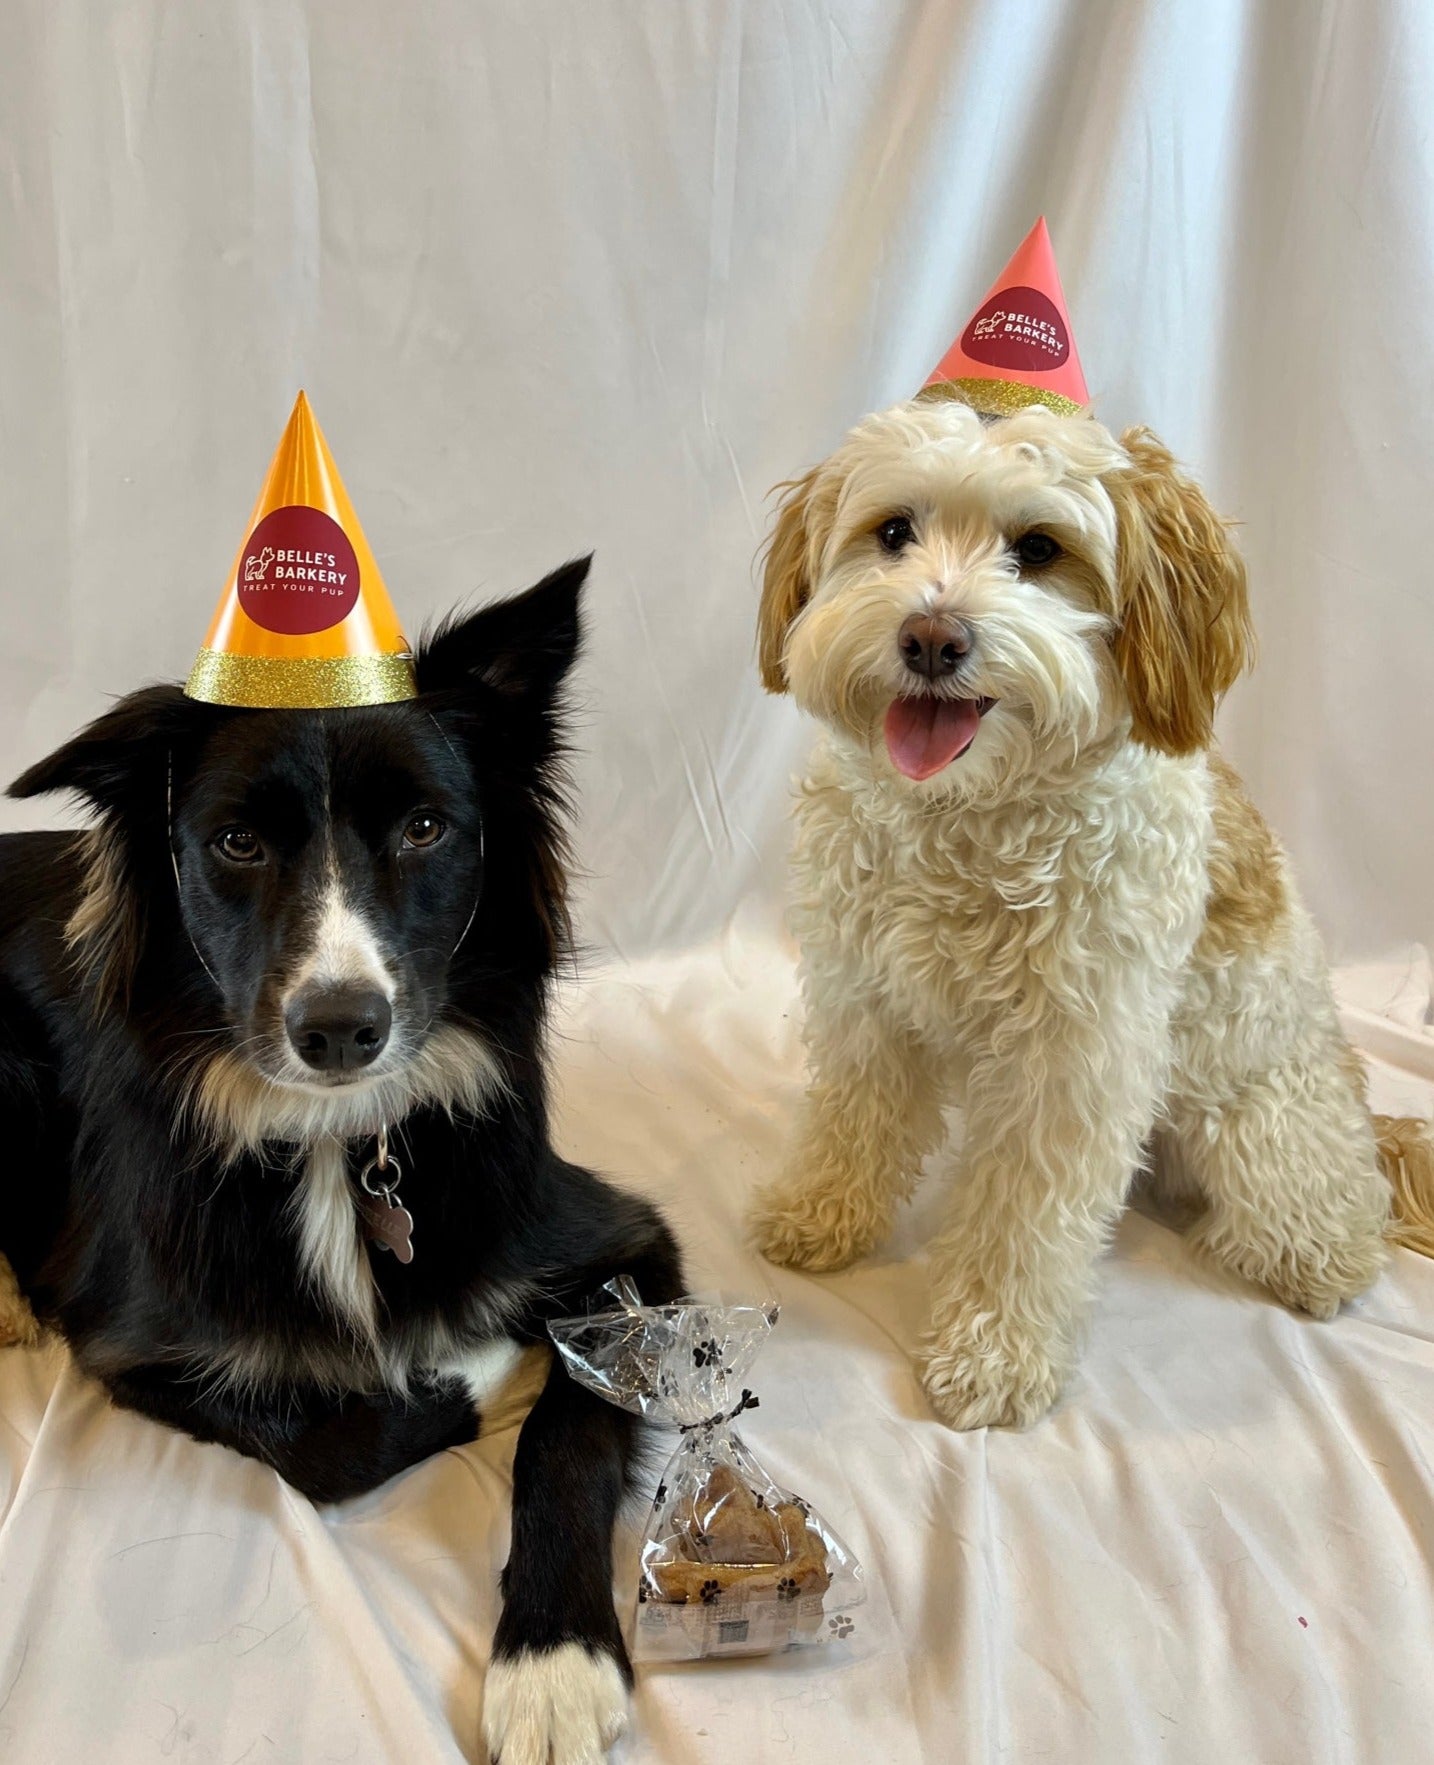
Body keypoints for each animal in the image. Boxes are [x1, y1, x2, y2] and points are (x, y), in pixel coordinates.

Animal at [0, 561, 681, 1765]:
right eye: (235, 843)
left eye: (424, 827)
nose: (339, 1028)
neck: (339, 1137)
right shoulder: (134, 1340)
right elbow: (319, 1444)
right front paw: (471, 1373)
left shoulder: (622, 1241)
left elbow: (571, 1425)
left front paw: (552, 1666)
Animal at [752, 393, 1434, 1426]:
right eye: (894, 531)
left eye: (1039, 548)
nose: (931, 638)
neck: (968, 821)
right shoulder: (865, 997)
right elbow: (852, 1120)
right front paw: (820, 1214)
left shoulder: (1072, 1056)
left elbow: (1021, 1217)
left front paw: (992, 1351)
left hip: (1264, 1118)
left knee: (1331, 1203)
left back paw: (1320, 1258)